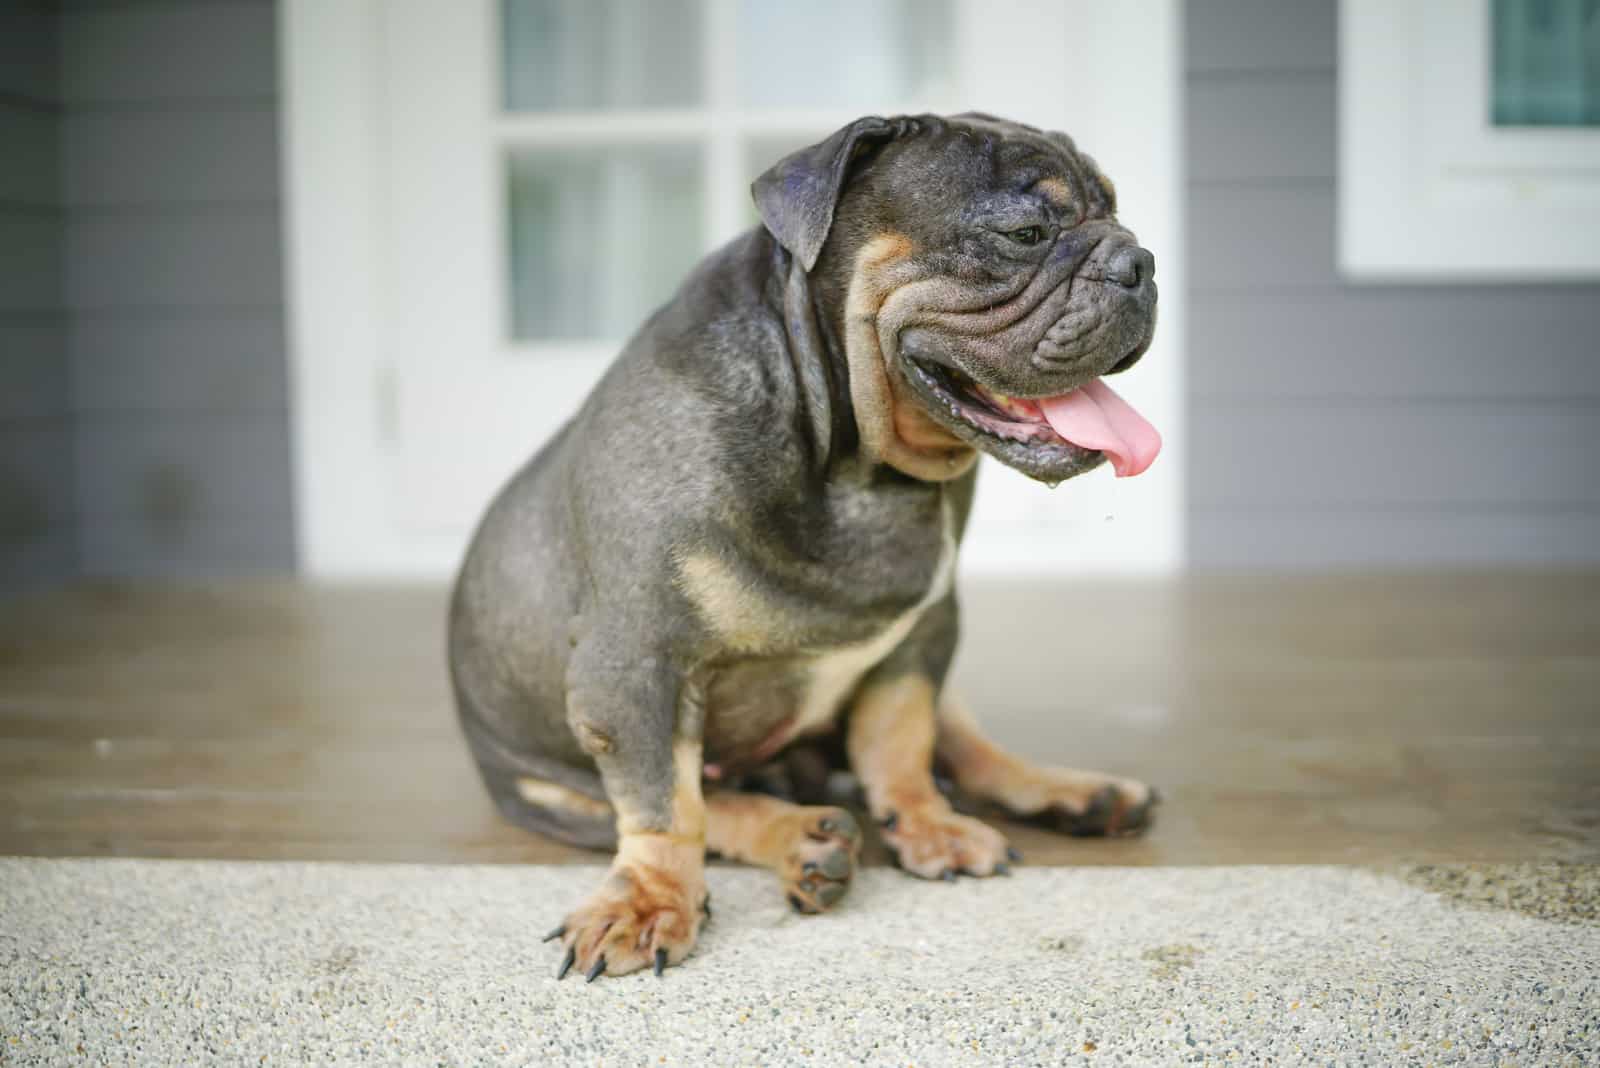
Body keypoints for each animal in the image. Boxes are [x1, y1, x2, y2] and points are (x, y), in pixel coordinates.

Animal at [451, 112, 1164, 978]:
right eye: (1024, 233)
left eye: (1120, 218)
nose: (1141, 263)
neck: (855, 466)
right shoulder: (635, 662)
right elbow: (664, 805)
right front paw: (649, 902)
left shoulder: (921, 636)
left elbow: (900, 738)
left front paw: (928, 826)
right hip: (554, 786)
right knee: (712, 805)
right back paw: (807, 840)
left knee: (960, 744)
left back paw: (1075, 793)